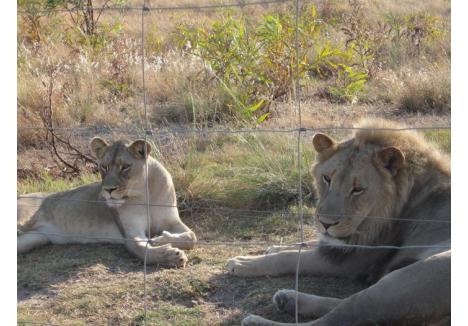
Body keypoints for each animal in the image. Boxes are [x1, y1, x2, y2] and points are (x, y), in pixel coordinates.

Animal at [17, 138, 197, 268]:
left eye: (125, 167)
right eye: (103, 167)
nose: (108, 190)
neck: (144, 194)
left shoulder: (172, 221)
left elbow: (192, 237)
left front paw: (161, 238)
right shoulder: (130, 234)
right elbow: (142, 251)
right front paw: (172, 255)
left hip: (33, 239)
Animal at [227, 119, 450, 326]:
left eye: (358, 189)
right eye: (327, 178)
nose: (326, 223)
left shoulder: (355, 260)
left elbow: (289, 258)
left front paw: (243, 262)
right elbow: (309, 244)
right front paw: (275, 247)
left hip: (407, 280)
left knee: (341, 317)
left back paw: (259, 319)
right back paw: (288, 300)